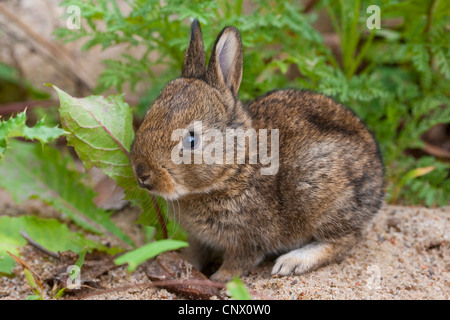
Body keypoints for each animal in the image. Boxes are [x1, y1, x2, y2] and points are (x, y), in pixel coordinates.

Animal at [130, 20, 384, 282]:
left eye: (191, 139)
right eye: (148, 115)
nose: (142, 173)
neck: (236, 168)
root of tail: (378, 177)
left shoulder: (248, 240)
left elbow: (238, 263)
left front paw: (217, 279)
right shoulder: (199, 239)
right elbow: (195, 253)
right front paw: (186, 266)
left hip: (322, 196)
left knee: (344, 240)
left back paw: (291, 262)